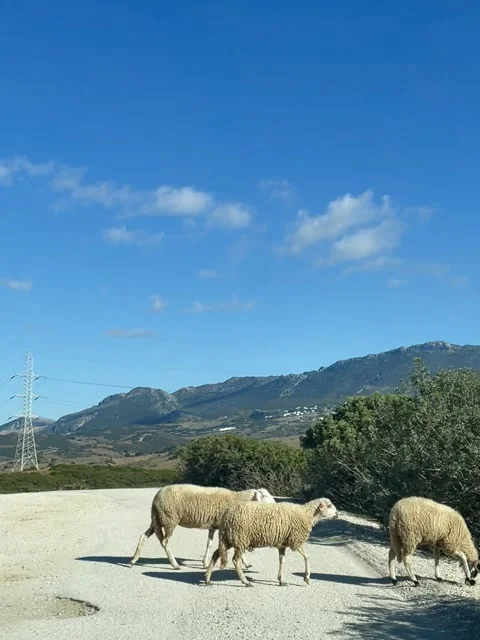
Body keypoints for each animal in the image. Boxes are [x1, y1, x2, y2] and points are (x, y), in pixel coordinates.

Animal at [130, 483, 275, 570]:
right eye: (264, 496)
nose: (276, 504)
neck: (237, 499)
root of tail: (156, 498)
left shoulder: (213, 525)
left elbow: (208, 544)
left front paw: (204, 562)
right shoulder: (225, 526)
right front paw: (245, 562)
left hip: (157, 519)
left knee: (144, 536)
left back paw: (133, 560)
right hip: (169, 519)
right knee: (165, 542)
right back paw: (175, 564)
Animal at [204, 497, 338, 587]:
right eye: (329, 505)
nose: (337, 514)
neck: (307, 515)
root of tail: (226, 515)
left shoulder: (283, 544)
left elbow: (282, 561)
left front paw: (281, 580)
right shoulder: (296, 541)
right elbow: (307, 557)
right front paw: (307, 578)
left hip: (228, 538)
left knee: (216, 554)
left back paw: (207, 579)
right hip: (240, 538)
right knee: (236, 561)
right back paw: (245, 582)